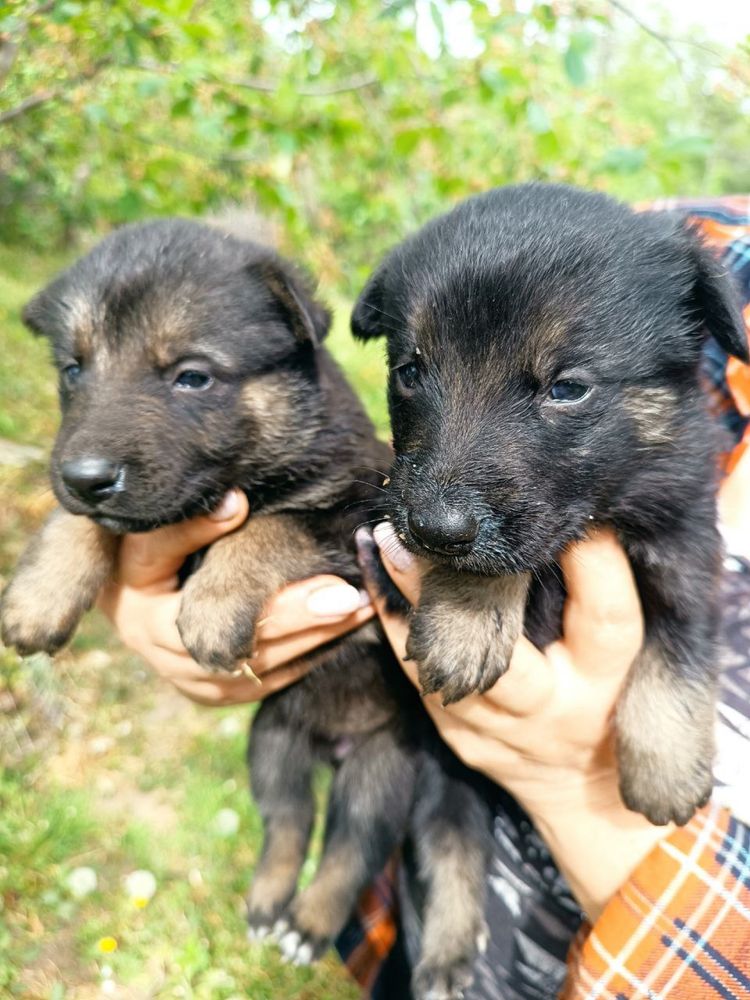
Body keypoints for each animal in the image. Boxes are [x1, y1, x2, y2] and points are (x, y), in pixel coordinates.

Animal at [1, 219, 494, 1000]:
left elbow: (268, 529)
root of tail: (332, 745)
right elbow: (92, 522)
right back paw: (267, 904)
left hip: (383, 766)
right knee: (288, 822)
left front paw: (213, 603)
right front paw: (40, 591)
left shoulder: (356, 519)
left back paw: (307, 925)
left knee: (350, 846)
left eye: (192, 376)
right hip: (273, 739)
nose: (84, 477)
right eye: (72, 371)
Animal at [354, 182, 750, 828]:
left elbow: (682, 636)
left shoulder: (684, 531)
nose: (436, 529)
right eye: (409, 372)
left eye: (567, 388)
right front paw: (466, 614)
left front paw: (666, 761)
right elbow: (505, 556)